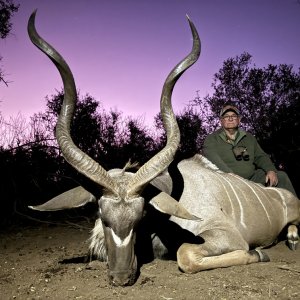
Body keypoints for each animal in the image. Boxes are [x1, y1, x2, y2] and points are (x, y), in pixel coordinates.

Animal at [27, 9, 298, 286]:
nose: (121, 277)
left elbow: (185, 253)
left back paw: (291, 238)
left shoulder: (228, 235)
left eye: (141, 217)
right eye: (103, 218)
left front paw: (259, 254)